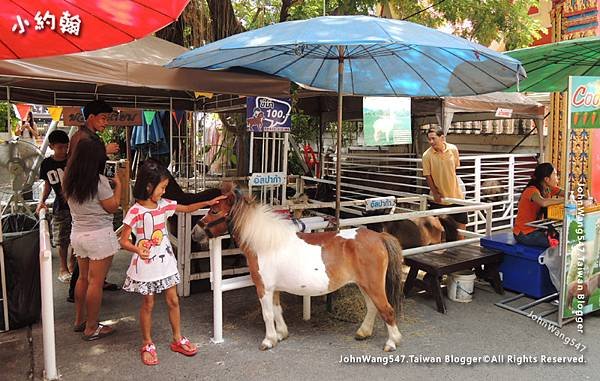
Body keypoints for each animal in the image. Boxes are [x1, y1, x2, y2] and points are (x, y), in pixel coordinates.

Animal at [190, 189, 406, 352]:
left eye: (215, 211)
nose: (195, 233)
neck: (265, 243)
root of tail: (379, 237)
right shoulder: (274, 289)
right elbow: (277, 310)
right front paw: (281, 334)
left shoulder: (263, 288)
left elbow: (267, 314)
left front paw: (268, 340)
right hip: (364, 285)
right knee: (372, 308)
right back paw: (363, 332)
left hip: (373, 285)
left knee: (387, 310)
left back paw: (391, 342)